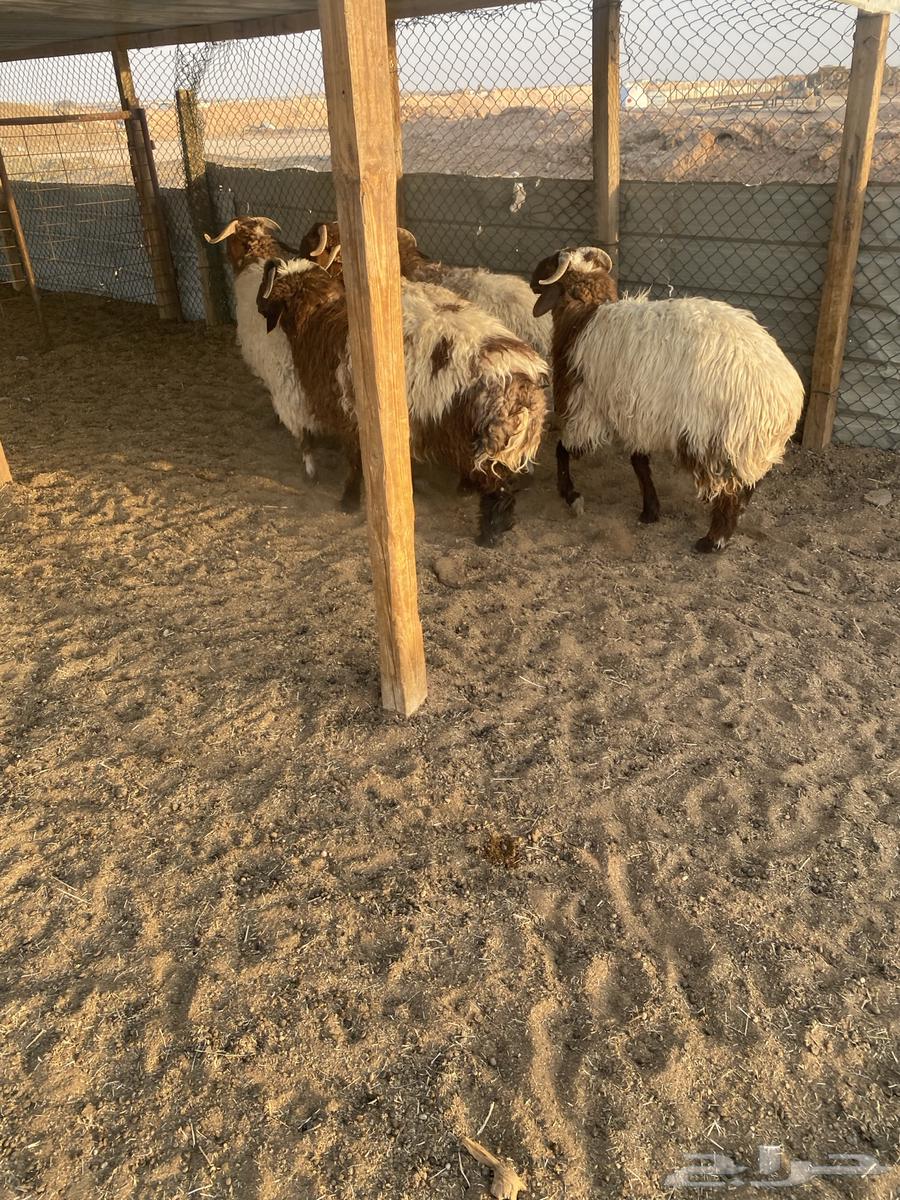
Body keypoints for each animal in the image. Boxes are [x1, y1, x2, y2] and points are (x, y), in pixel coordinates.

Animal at [256, 254, 548, 546]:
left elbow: (356, 461)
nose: (258, 304)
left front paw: (348, 501)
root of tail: (523, 385)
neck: (320, 319)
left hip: (488, 441)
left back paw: (489, 534)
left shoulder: (351, 413)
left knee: (498, 490)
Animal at [530, 246, 804, 552]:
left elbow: (562, 450)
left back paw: (713, 539)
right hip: (745, 443)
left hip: (711, 436)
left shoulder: (586, 406)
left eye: (550, 263)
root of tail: (781, 396)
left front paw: (571, 495)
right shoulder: (636, 412)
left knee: (730, 488)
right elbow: (639, 462)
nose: (531, 280)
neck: (585, 316)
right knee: (748, 482)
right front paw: (650, 510)